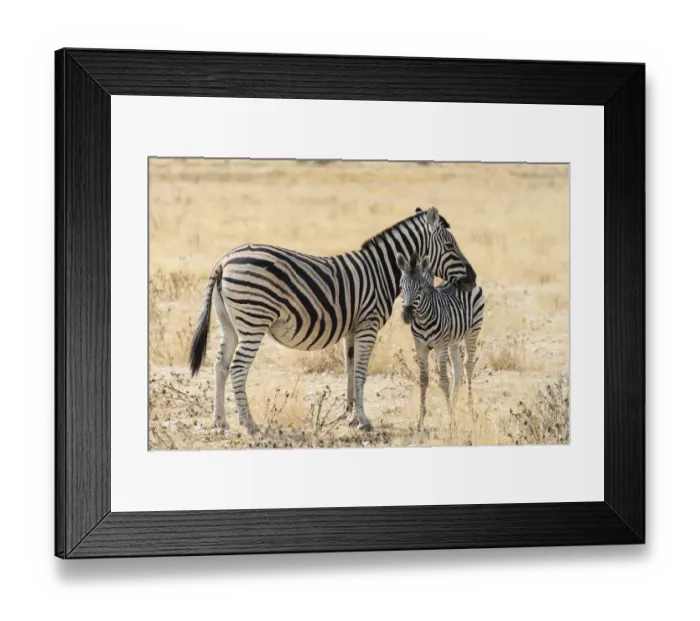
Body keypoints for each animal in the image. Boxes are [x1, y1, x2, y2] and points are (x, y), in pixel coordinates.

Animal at [397, 252, 485, 431]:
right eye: (401, 288)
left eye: (420, 288)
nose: (407, 316)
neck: (423, 319)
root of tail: (463, 278)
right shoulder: (421, 347)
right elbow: (423, 380)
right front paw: (420, 421)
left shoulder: (440, 345)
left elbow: (444, 381)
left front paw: (451, 422)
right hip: (453, 341)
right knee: (457, 371)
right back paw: (454, 405)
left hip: (472, 332)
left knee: (468, 366)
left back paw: (470, 411)